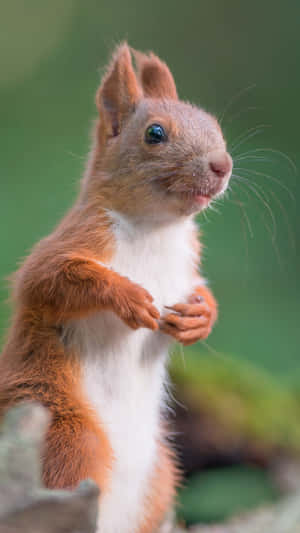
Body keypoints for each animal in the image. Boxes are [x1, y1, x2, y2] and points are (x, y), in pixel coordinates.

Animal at [0, 45, 232, 532]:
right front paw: (128, 297)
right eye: (155, 134)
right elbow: (49, 280)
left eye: (214, 125)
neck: (156, 229)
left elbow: (203, 293)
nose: (222, 165)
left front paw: (199, 318)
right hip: (68, 435)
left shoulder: (188, 268)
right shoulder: (71, 243)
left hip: (160, 473)